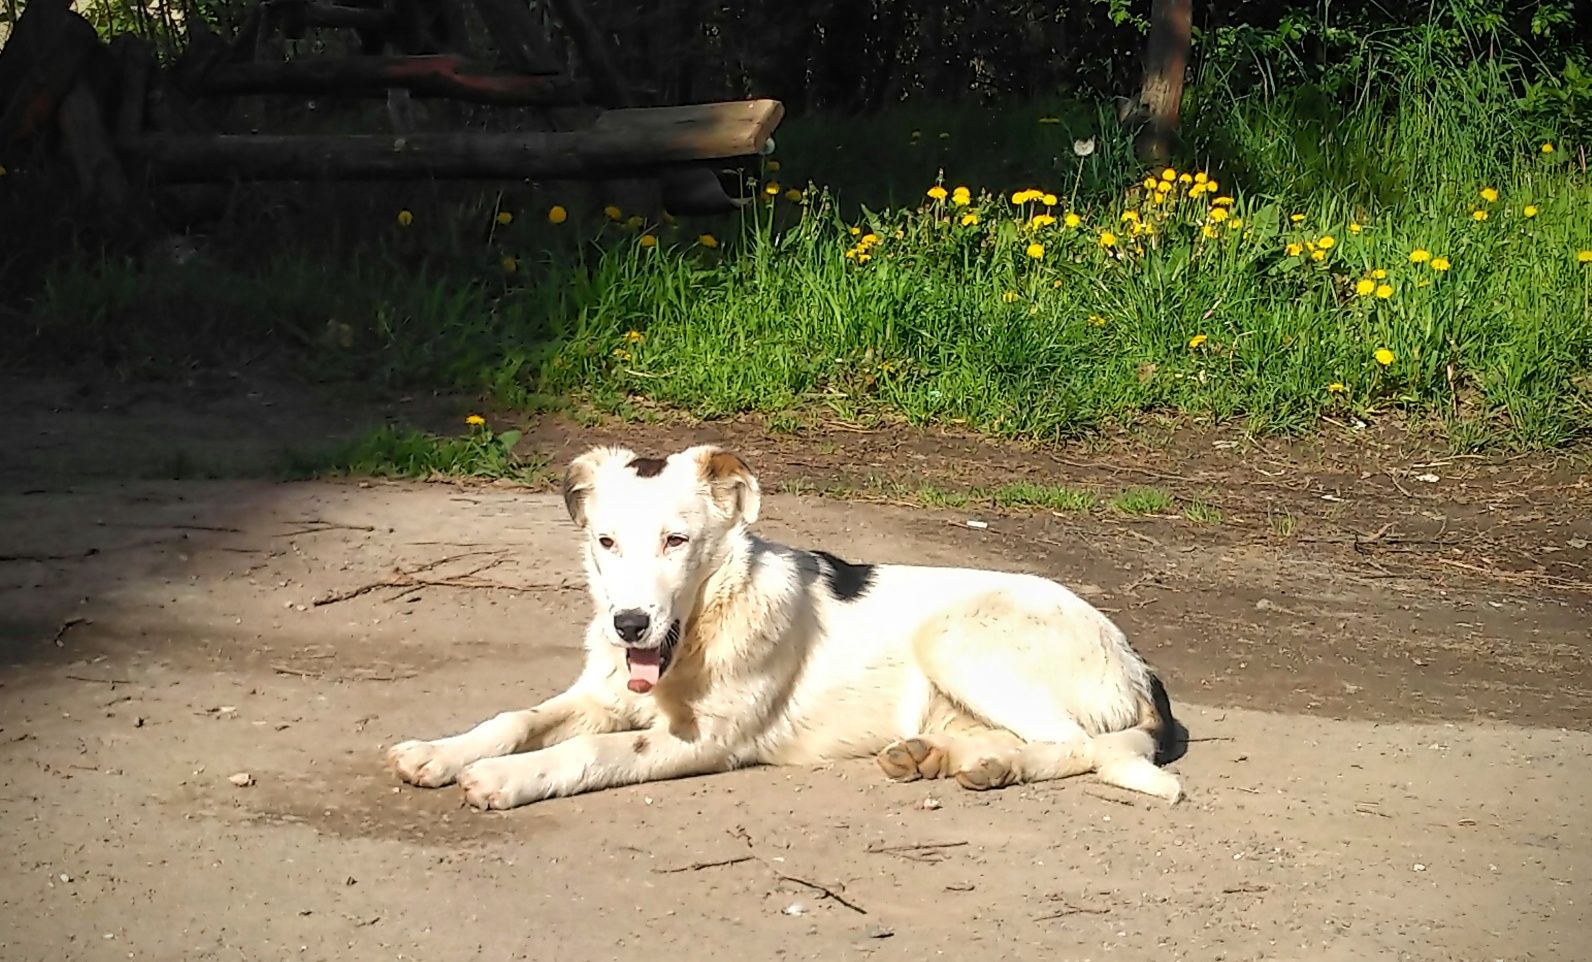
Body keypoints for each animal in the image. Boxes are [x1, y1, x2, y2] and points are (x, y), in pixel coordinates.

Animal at [385, 445, 1184, 809]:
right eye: (606, 542)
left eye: (677, 541)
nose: (630, 624)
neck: (701, 632)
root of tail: (1141, 666)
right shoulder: (602, 693)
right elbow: (518, 717)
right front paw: (440, 751)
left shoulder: (701, 741)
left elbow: (593, 751)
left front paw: (504, 777)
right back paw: (945, 757)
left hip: (956, 635)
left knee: (1078, 746)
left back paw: (996, 767)